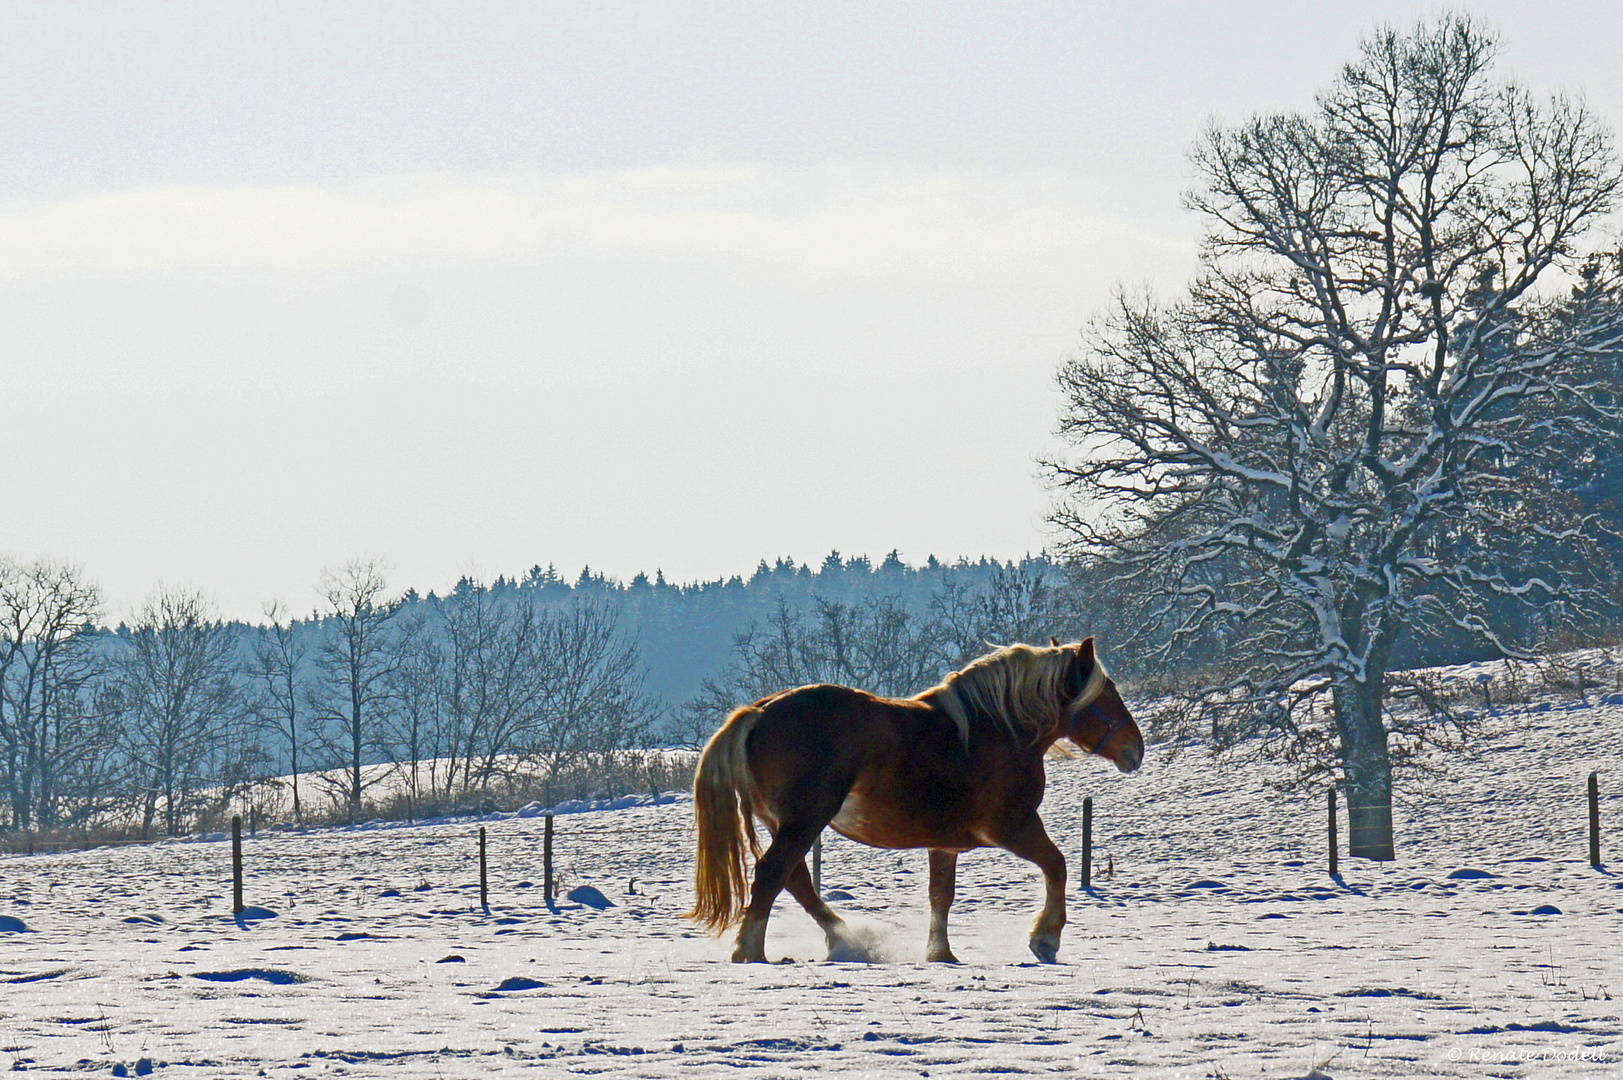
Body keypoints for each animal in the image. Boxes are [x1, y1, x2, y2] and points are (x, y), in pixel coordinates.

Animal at [684, 633, 1142, 961]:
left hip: (787, 822)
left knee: (795, 880)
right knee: (773, 874)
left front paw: (941, 953)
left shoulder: (945, 844)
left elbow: (941, 896)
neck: (995, 731)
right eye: (1106, 692)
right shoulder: (1014, 827)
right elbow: (1057, 866)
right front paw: (1046, 938)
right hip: (804, 819)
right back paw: (751, 952)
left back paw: (842, 940)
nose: (1135, 750)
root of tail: (759, 712)